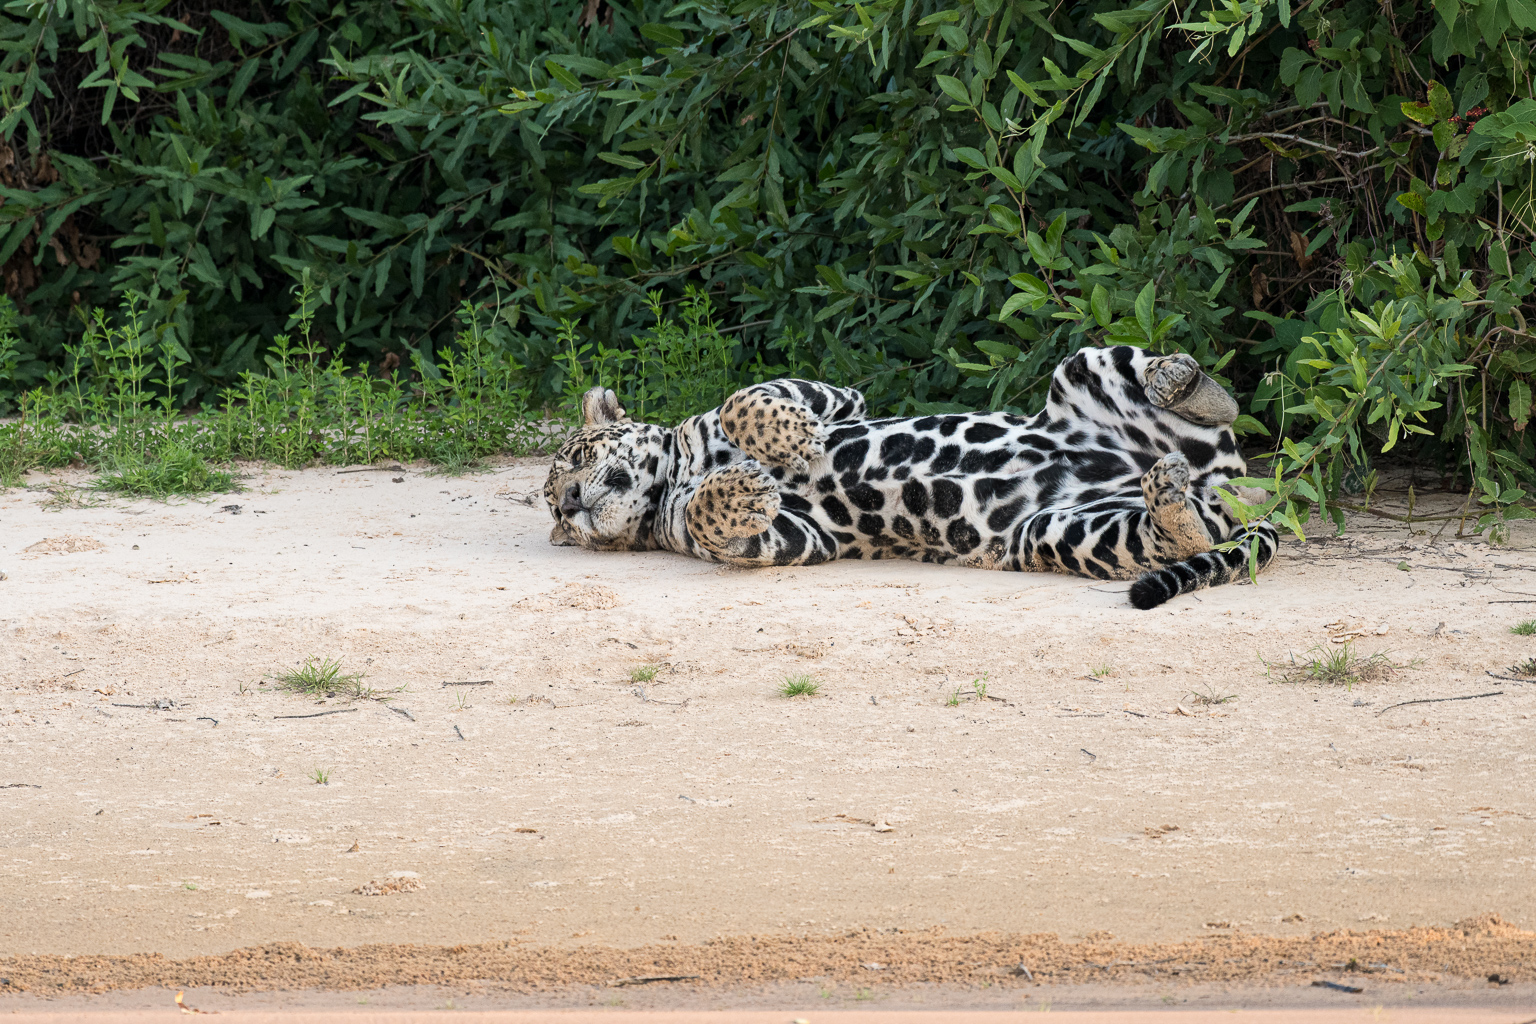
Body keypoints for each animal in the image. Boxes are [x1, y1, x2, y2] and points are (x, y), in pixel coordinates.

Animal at [543, 345, 1278, 609]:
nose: (573, 504)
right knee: (1175, 535)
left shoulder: (837, 397)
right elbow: (718, 515)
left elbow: (744, 398)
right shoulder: (796, 537)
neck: (678, 472)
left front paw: (789, 444)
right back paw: (1169, 496)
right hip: (1061, 531)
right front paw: (742, 488)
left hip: (1080, 369)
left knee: (1207, 401)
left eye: (575, 459)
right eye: (557, 518)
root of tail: (1232, 492)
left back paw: (1180, 383)